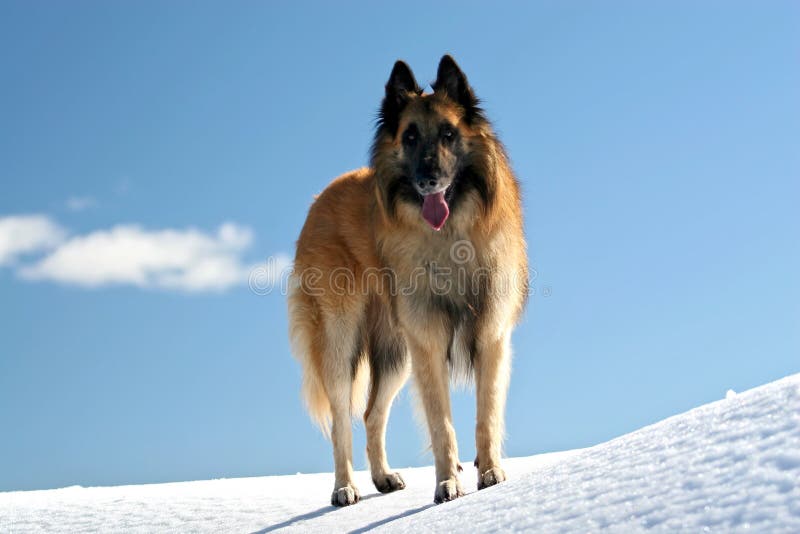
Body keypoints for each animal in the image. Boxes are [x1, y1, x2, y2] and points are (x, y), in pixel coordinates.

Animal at [290, 56, 528, 508]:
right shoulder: (428, 342)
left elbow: (486, 415)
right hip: (341, 340)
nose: (428, 179)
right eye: (410, 137)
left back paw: (382, 477)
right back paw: (345, 487)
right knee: (341, 419)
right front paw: (447, 483)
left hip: (396, 352)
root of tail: (318, 199)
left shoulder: (491, 334)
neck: (450, 235)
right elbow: (441, 424)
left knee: (371, 414)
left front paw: (490, 472)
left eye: (449, 133)